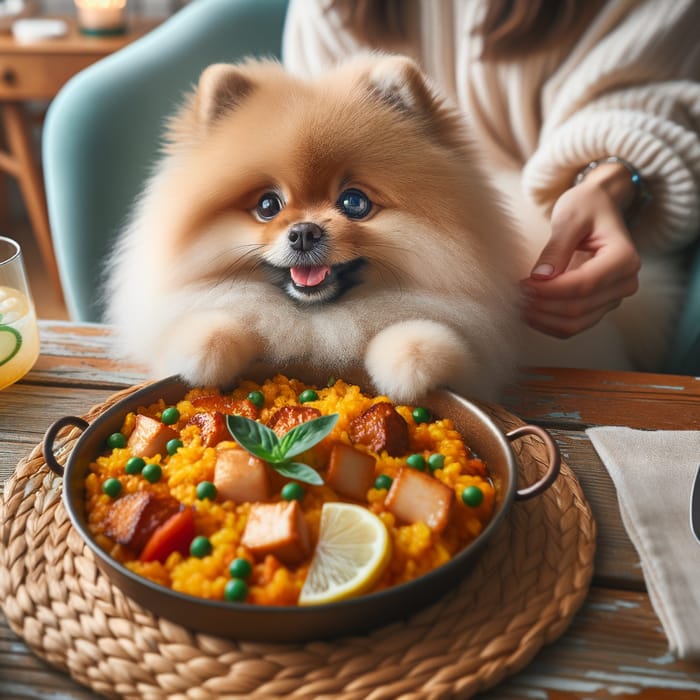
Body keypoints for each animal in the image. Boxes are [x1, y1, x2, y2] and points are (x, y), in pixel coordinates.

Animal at [106, 54, 528, 402]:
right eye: (267, 206)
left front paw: (411, 361)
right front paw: (205, 348)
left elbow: (434, 341)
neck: (316, 321)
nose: (304, 232)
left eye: (354, 203)